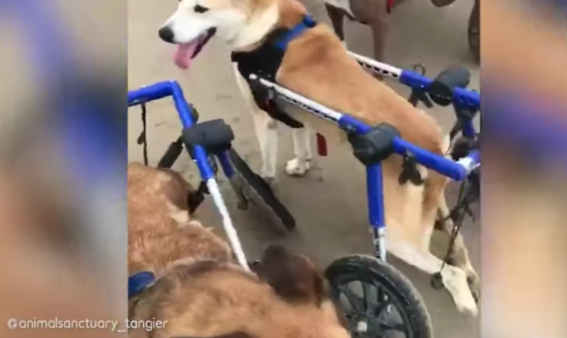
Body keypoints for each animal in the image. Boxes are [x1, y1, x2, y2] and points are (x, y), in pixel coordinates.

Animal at [156, 0, 480, 316]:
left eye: (200, 9)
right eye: (180, 4)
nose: (164, 33)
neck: (269, 28)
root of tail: (433, 146)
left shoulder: (263, 115)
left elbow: (266, 165)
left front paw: (263, 186)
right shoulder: (296, 115)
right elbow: (301, 142)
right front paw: (301, 165)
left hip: (398, 235)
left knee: (447, 272)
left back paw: (462, 301)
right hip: (434, 207)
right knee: (460, 249)